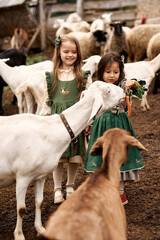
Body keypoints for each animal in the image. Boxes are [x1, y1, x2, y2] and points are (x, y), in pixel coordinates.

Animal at [0, 81, 125, 240]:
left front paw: (41, 229)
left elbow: (39, 202)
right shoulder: (22, 176)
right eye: (108, 90)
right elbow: (21, 209)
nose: (123, 91)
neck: (52, 130)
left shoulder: (40, 176)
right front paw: (19, 235)